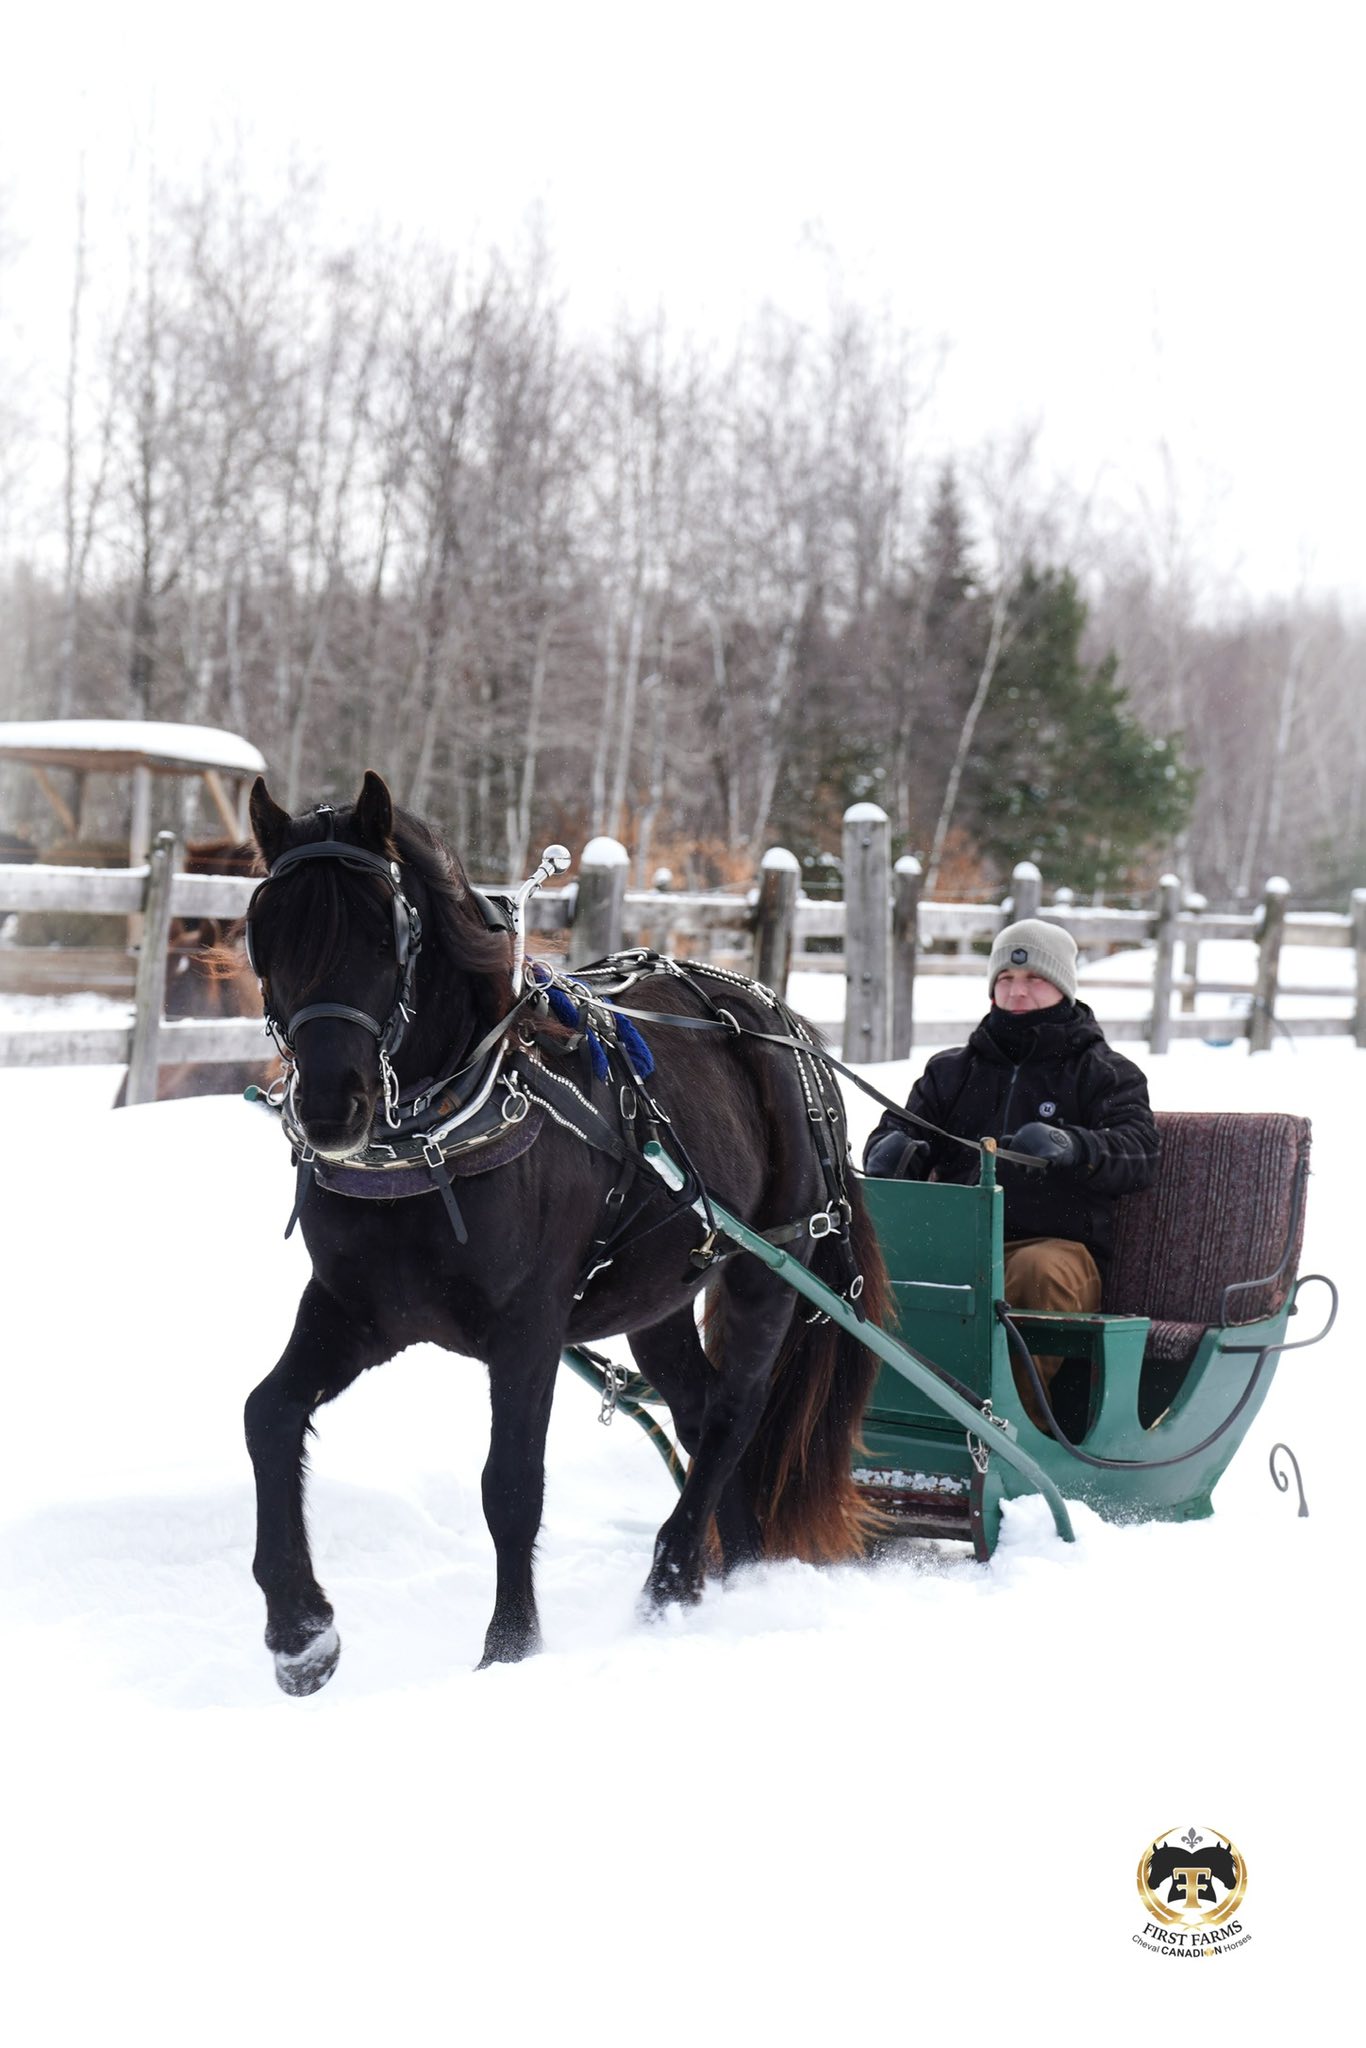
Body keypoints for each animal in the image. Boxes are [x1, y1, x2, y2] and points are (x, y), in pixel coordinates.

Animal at [243, 771, 890, 1694]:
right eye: (265, 934)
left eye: (381, 932)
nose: (331, 1106)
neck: (439, 1133)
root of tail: (785, 1027)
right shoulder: (356, 1310)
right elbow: (268, 1415)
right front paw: (301, 1632)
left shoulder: (530, 1325)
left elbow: (512, 1485)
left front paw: (509, 1647)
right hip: (661, 1294)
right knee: (701, 1418)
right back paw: (733, 1571)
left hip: (769, 1266)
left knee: (735, 1417)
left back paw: (672, 1577)